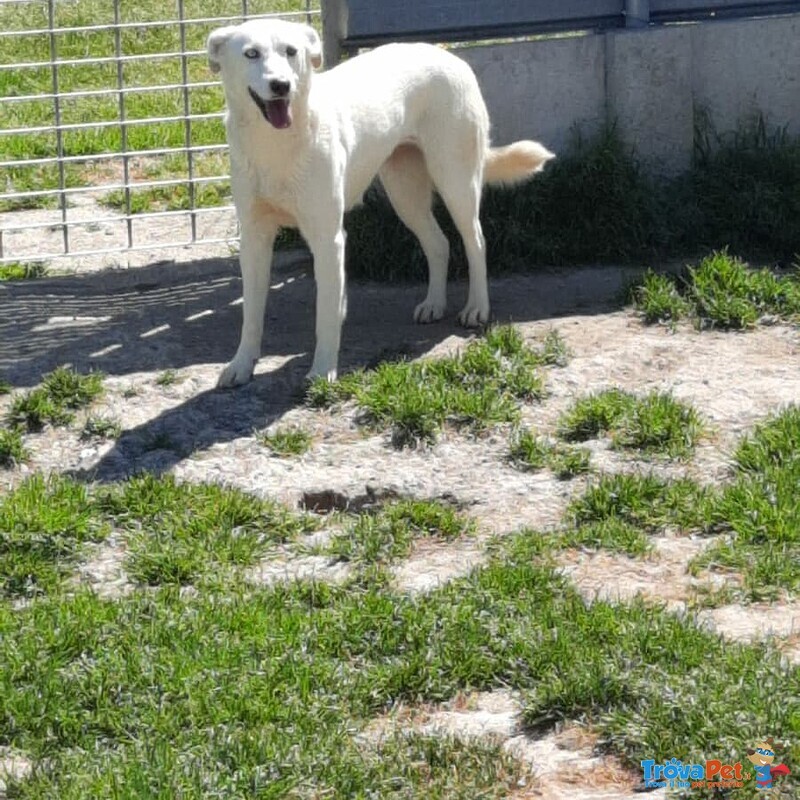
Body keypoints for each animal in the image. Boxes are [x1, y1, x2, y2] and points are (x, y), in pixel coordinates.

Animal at [209, 19, 552, 388]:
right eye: (251, 54)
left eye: (291, 51)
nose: (281, 85)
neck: (274, 145)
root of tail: (449, 55)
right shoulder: (254, 239)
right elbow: (251, 312)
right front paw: (241, 364)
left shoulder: (328, 239)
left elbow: (325, 312)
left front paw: (322, 371)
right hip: (405, 194)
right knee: (439, 243)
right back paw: (434, 303)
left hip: (455, 181)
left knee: (475, 240)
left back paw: (477, 307)